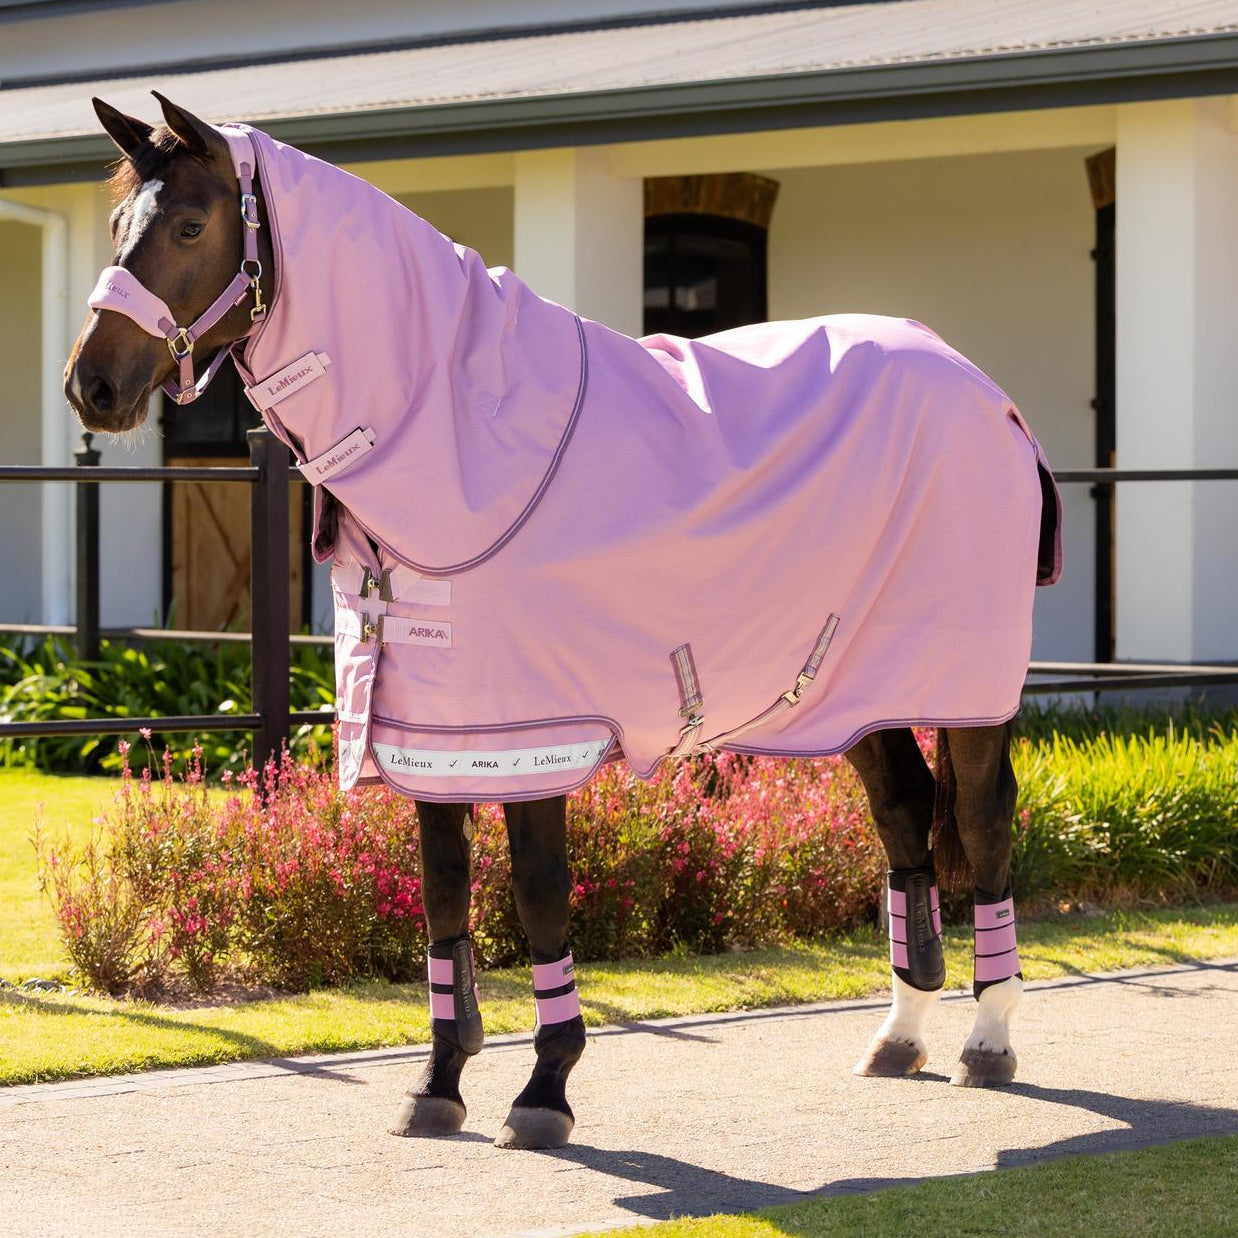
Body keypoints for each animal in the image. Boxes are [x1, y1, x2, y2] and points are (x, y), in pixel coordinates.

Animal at [65, 93, 1062, 1151]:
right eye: (120, 222)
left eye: (189, 226)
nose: (92, 386)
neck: (469, 433)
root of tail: (986, 393)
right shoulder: (436, 737)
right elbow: (445, 892)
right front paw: (439, 1082)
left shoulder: (532, 733)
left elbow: (539, 890)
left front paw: (544, 1090)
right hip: (853, 688)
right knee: (904, 814)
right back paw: (900, 1035)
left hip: (969, 696)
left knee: (985, 826)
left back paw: (988, 1040)